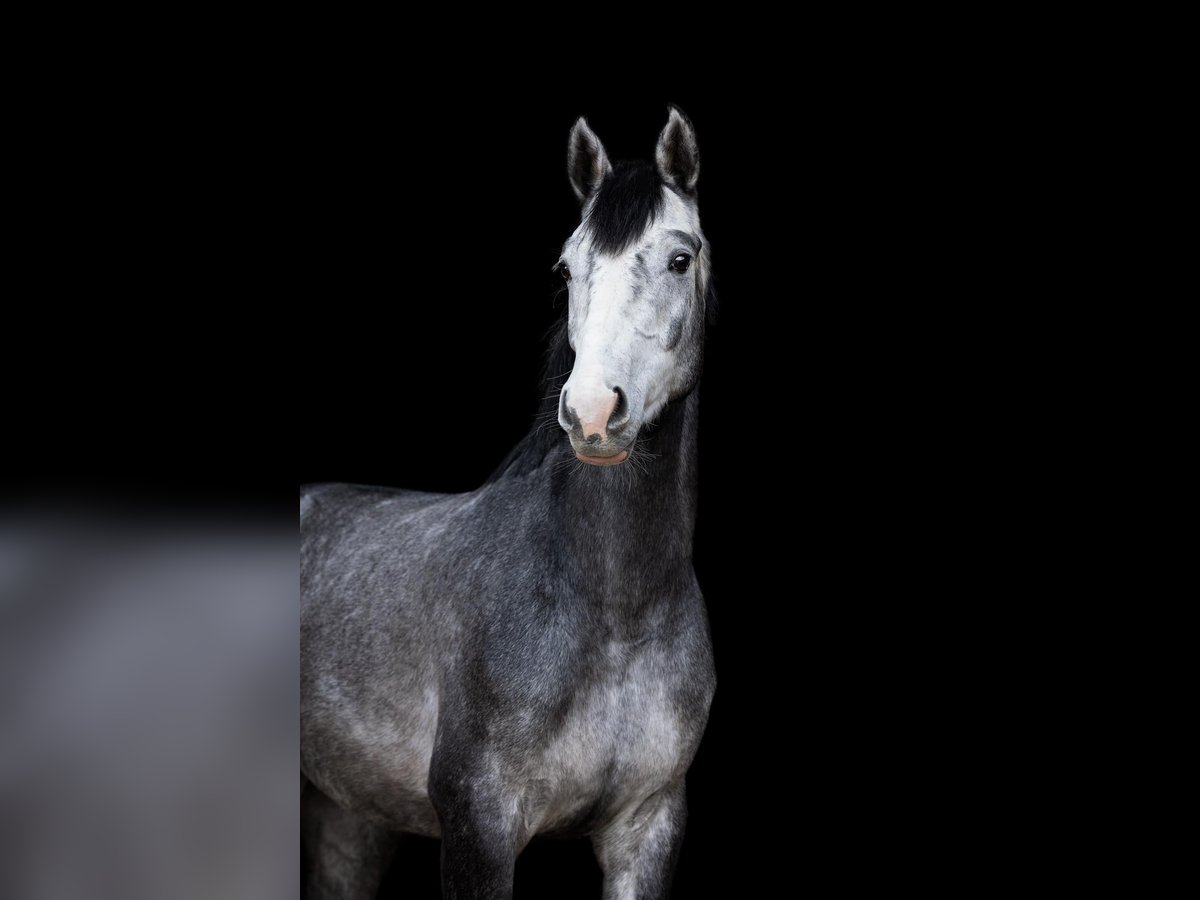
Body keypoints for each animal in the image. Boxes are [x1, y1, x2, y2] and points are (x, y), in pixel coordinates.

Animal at [304, 107, 715, 900]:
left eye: (680, 260)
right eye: (566, 268)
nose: (592, 412)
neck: (612, 611)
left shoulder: (648, 828)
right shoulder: (480, 826)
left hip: (349, 818)